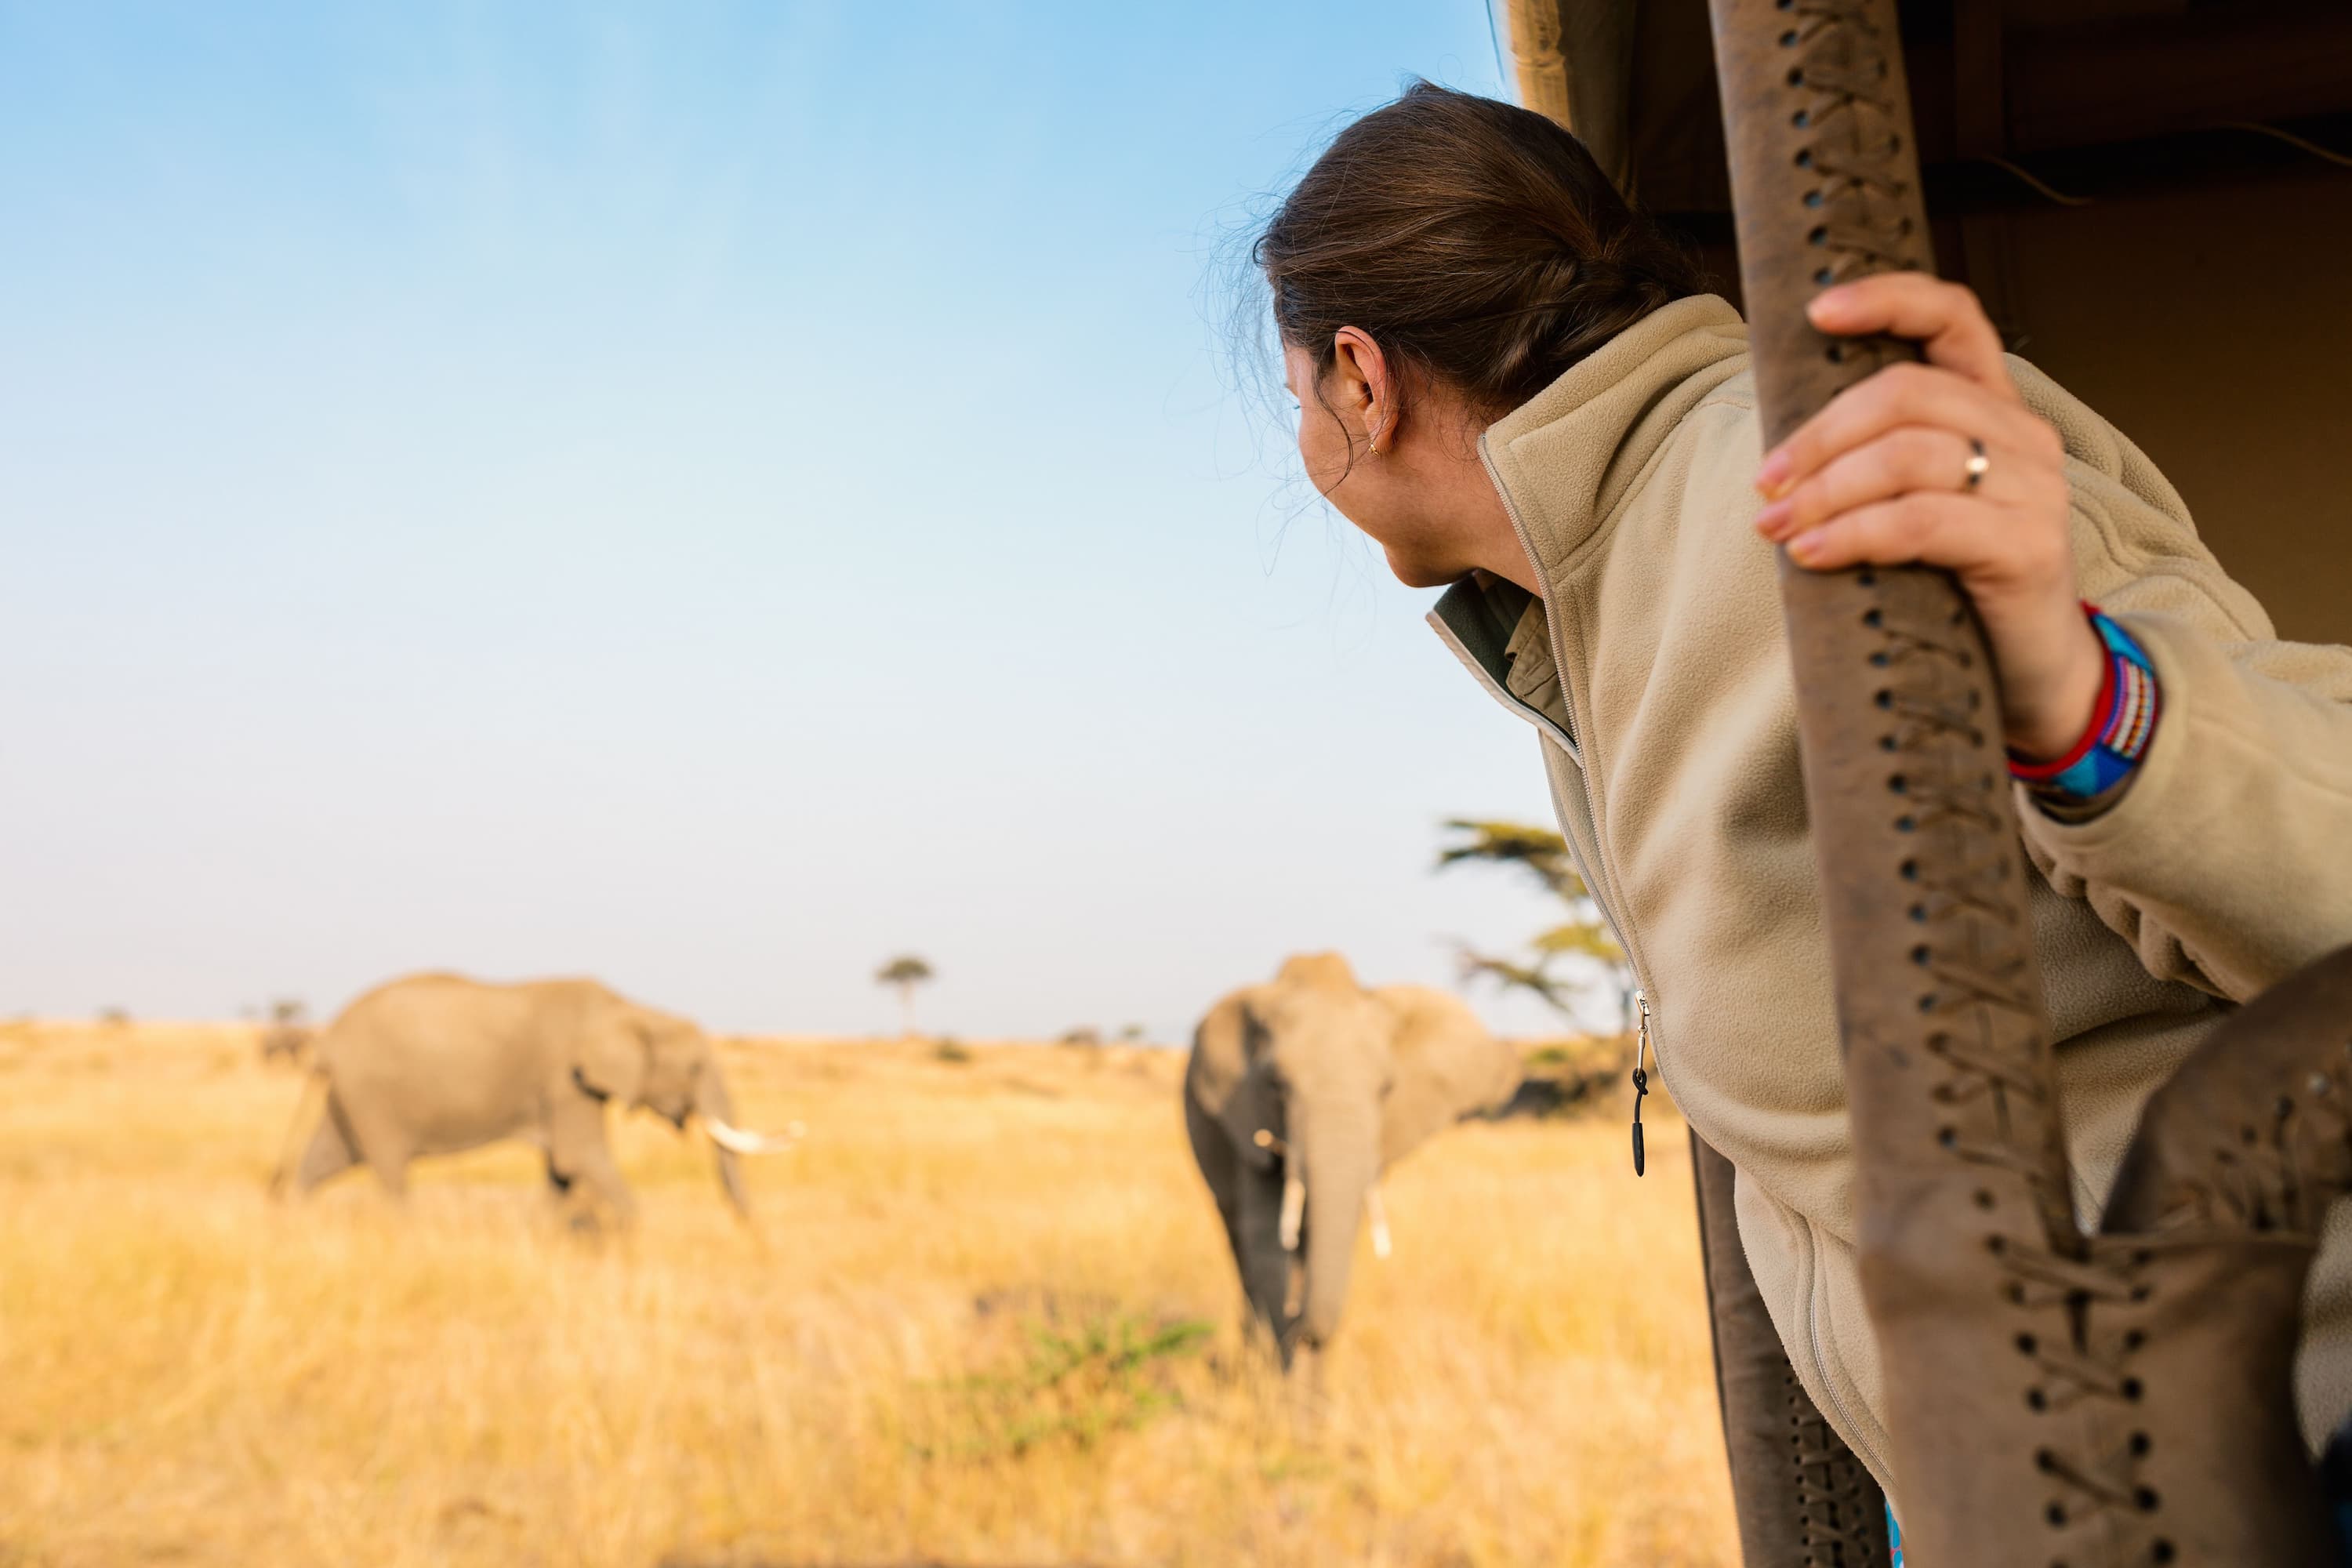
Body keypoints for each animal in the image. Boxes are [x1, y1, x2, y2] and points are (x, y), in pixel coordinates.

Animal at [272, 973, 799, 1223]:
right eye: (692, 1070)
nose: (753, 1235)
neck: (631, 1009)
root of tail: (327, 1040)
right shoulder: (567, 1079)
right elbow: (580, 1157)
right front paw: (634, 1242)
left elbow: (563, 1174)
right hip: (373, 1093)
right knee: (389, 1167)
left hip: (351, 1097)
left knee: (326, 1159)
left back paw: (291, 1226)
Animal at [1183, 952, 1522, 1367]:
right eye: (1277, 1086)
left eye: (1386, 1088)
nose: (1299, 1317)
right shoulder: (1246, 1118)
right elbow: (1266, 1239)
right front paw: (1278, 1377)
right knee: (1238, 1243)